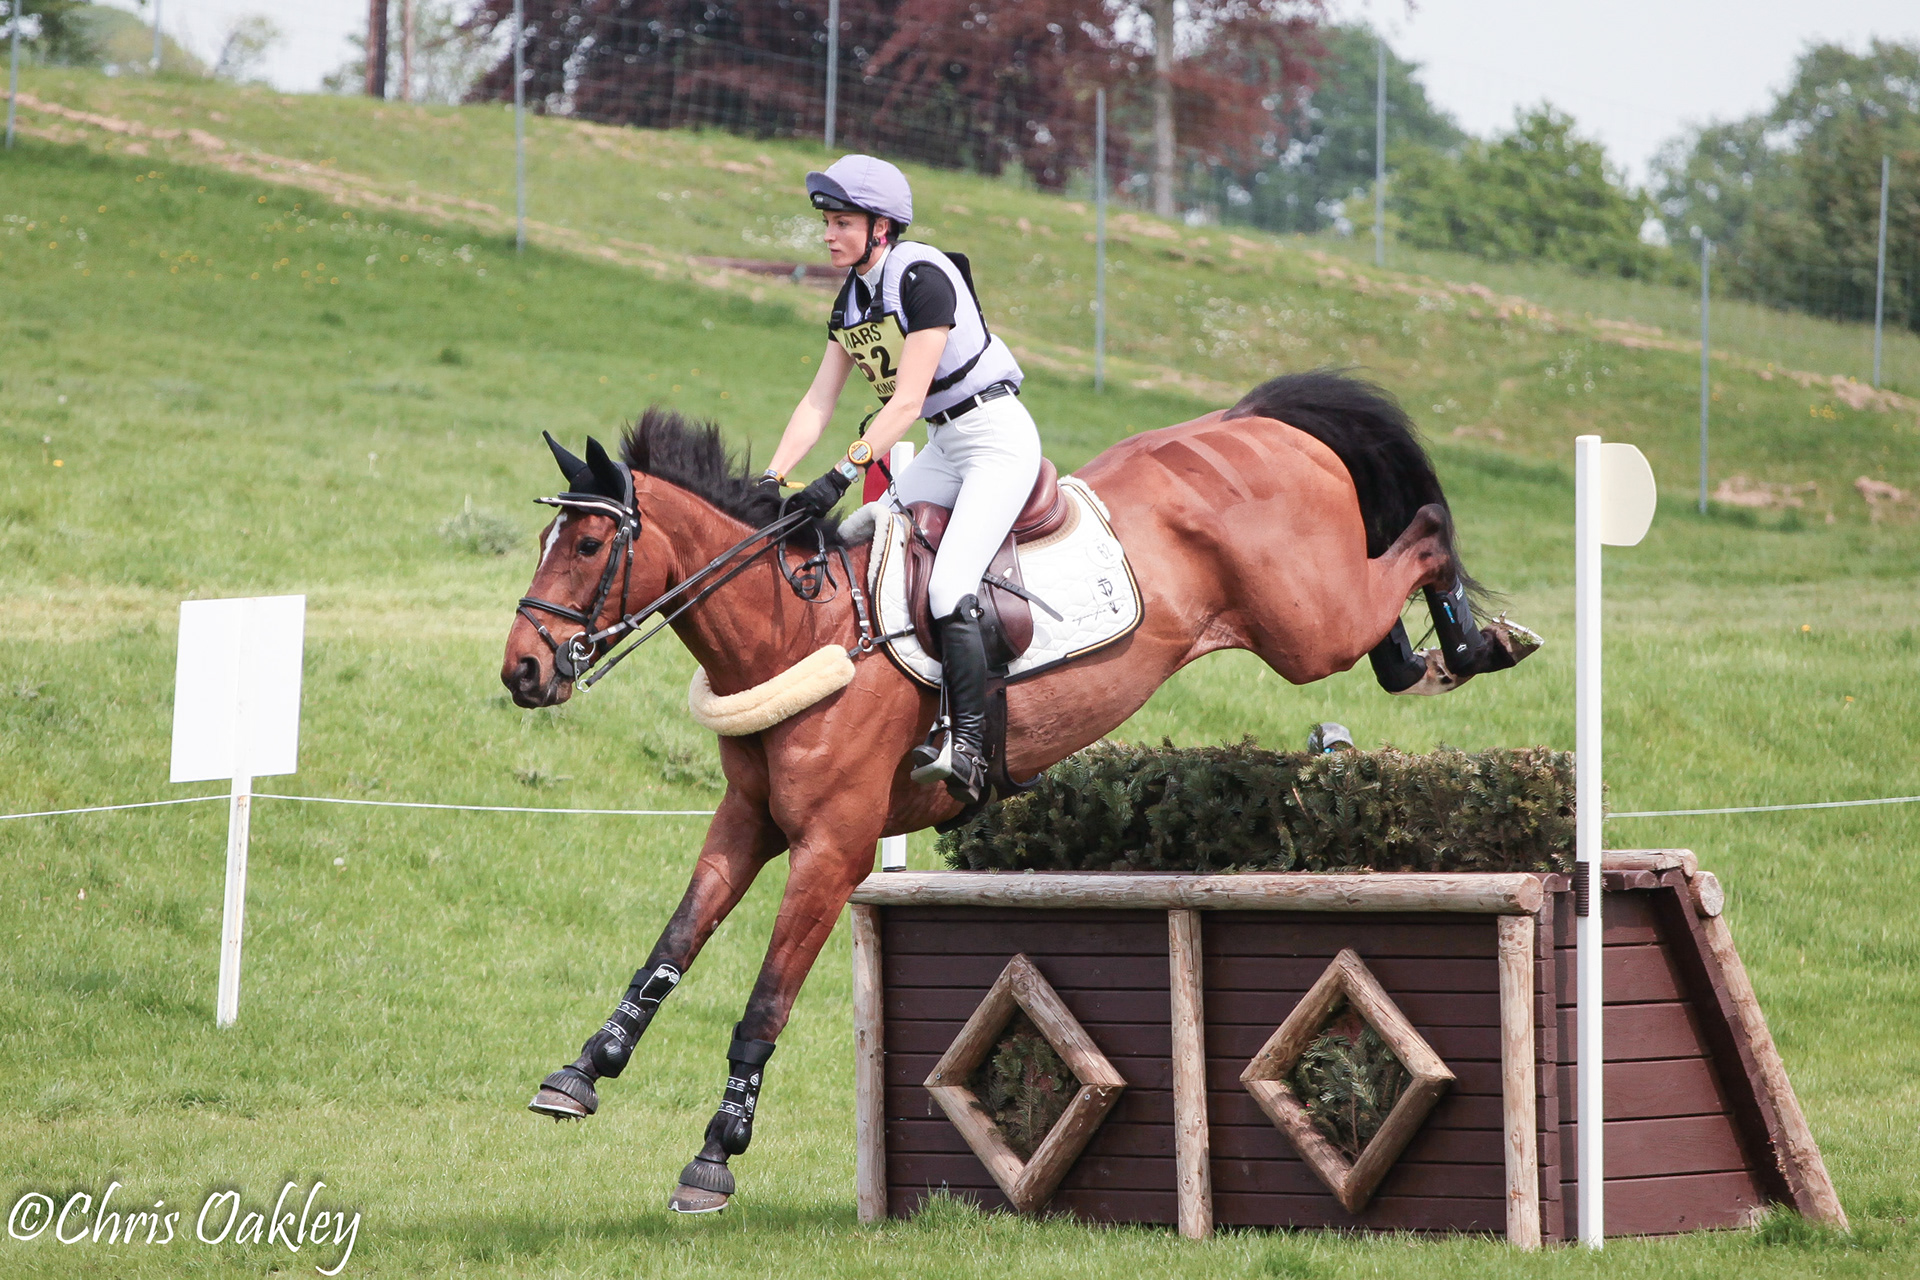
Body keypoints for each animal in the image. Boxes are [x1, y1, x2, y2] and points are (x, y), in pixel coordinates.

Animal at [499, 369, 1538, 1214]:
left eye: (586, 545)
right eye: (548, 537)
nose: (522, 671)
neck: (802, 628)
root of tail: (1251, 421)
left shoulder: (832, 848)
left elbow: (765, 1003)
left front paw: (715, 1157)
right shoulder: (747, 822)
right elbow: (670, 948)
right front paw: (583, 1072)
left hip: (1304, 623)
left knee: (1421, 539)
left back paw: (1477, 642)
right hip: (1308, 617)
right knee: (1388, 596)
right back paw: (1428, 658)